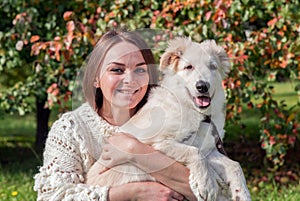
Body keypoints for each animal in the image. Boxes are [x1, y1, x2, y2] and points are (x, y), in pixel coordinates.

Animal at [86, 37, 251, 199]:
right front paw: (207, 183)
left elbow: (234, 165)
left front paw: (242, 192)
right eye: (188, 67)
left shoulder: (208, 149)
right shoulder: (158, 143)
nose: (202, 86)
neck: (197, 114)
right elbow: (193, 152)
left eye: (213, 67)